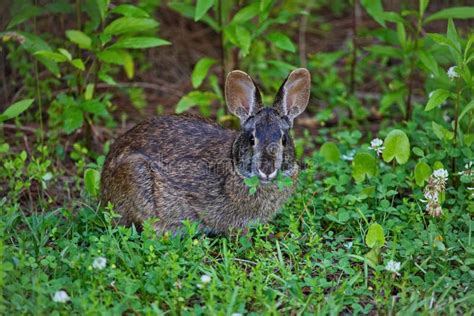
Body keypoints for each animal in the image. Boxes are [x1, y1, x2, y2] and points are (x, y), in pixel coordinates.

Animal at [100, 67, 312, 235]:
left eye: (284, 139)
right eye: (252, 139)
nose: (266, 170)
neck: (235, 165)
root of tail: (104, 187)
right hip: (135, 174)